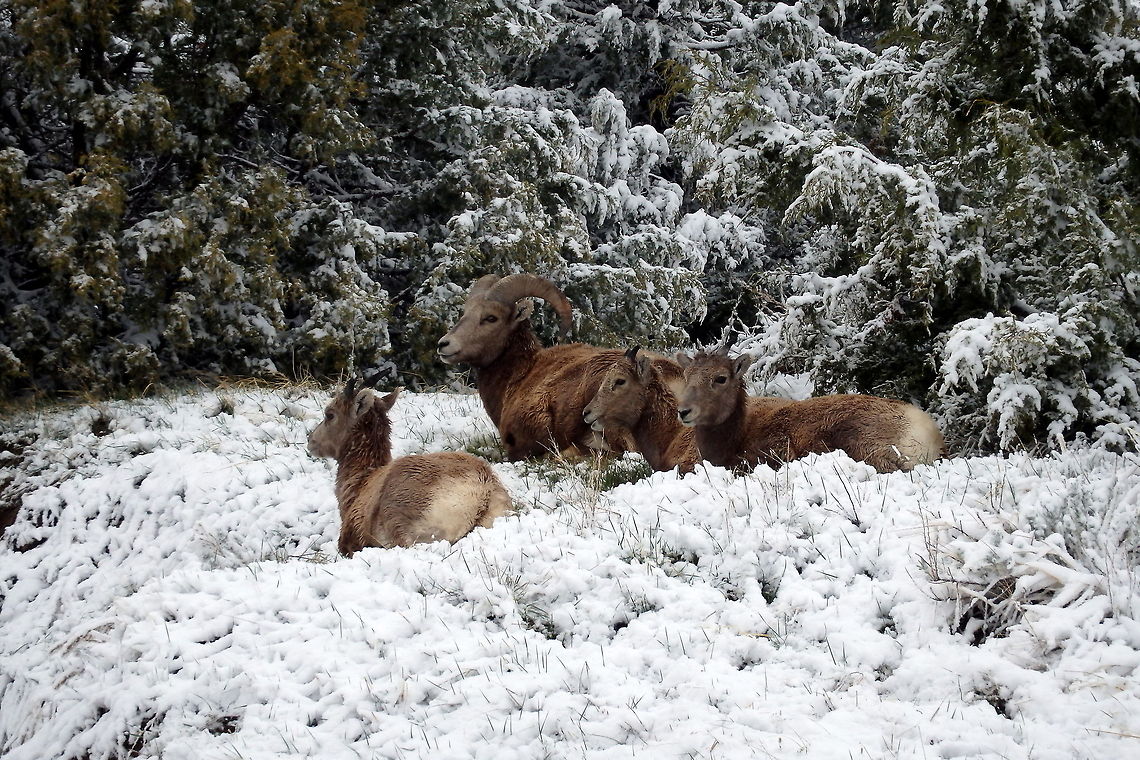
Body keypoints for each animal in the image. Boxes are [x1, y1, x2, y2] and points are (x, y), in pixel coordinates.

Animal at [307, 376, 512, 556]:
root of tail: (483, 491)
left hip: (403, 519)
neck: (358, 485)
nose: (310, 441)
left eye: (329, 414)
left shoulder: (351, 531)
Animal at [676, 347, 945, 473]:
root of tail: (929, 435)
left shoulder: (770, 454)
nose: (684, 411)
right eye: (686, 375)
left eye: (720, 378)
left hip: (866, 444)